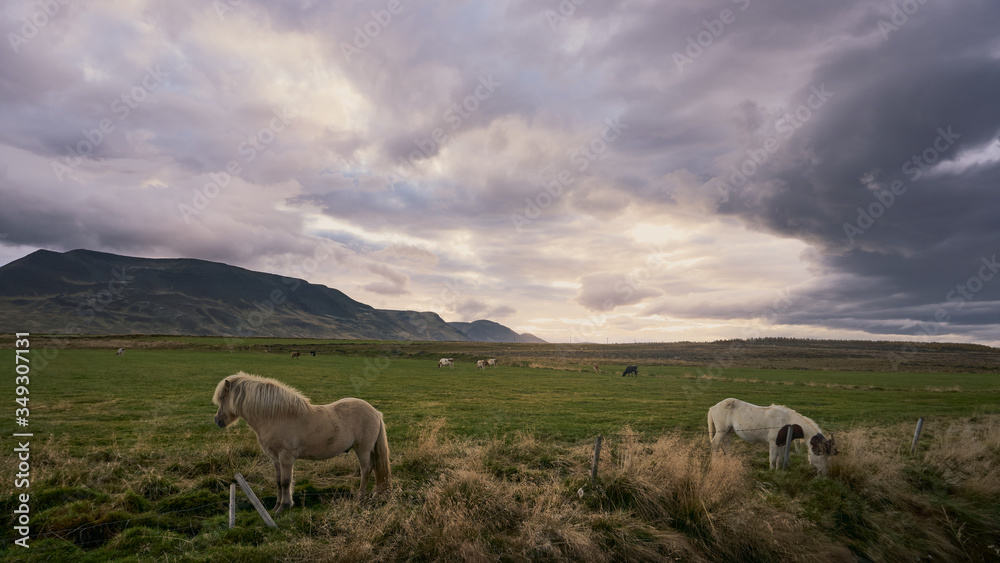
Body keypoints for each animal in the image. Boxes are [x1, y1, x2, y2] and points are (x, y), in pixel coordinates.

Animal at [211, 372, 390, 512]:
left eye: (222, 399)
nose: (217, 421)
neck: (276, 417)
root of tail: (375, 412)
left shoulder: (286, 457)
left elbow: (285, 482)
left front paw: (284, 507)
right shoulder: (275, 459)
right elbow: (278, 482)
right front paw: (277, 506)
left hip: (363, 449)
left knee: (366, 470)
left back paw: (360, 497)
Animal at [708, 396, 840, 476]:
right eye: (822, 455)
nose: (825, 473)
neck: (788, 422)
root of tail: (713, 407)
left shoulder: (782, 443)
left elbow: (779, 458)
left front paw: (777, 470)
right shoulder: (773, 442)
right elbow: (772, 458)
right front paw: (771, 471)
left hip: (729, 432)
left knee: (725, 446)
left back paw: (726, 462)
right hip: (721, 431)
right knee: (715, 445)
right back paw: (715, 463)